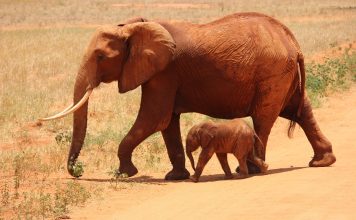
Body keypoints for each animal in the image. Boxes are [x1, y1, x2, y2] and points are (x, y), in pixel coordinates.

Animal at [40, 12, 336, 180]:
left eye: (101, 57)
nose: (77, 172)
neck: (133, 28)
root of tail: (293, 42)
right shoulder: (162, 75)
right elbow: (167, 122)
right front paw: (175, 177)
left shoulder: (165, 72)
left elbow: (154, 119)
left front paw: (124, 173)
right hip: (283, 76)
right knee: (300, 110)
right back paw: (321, 162)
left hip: (272, 74)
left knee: (263, 119)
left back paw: (252, 171)